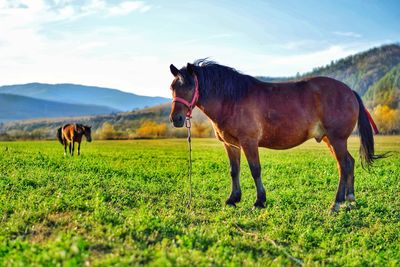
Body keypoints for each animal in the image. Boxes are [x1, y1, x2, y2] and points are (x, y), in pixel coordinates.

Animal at [169, 59, 384, 213]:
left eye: (189, 87)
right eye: (172, 87)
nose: (176, 119)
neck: (232, 99)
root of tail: (349, 91)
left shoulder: (249, 142)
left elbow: (255, 170)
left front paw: (259, 201)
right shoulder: (231, 145)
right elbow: (234, 171)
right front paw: (233, 199)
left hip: (337, 139)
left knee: (344, 165)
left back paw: (337, 203)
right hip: (330, 140)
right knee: (349, 163)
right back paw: (350, 199)